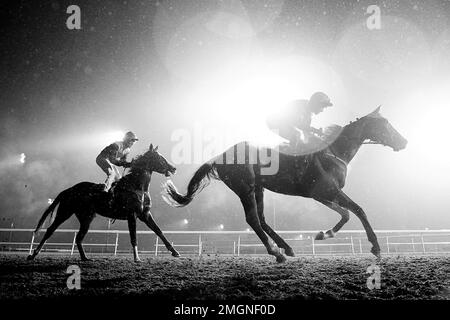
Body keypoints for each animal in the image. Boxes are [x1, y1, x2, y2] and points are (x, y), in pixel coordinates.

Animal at [27, 144, 179, 262]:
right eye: (159, 158)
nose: (173, 168)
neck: (137, 187)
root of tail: (69, 189)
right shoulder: (132, 215)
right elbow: (133, 237)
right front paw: (137, 258)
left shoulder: (145, 214)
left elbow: (159, 231)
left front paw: (175, 252)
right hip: (65, 212)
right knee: (50, 230)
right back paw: (33, 254)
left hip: (87, 217)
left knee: (79, 238)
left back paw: (85, 258)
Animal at [164, 106, 408, 262]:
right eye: (385, 124)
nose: (404, 141)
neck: (333, 151)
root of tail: (219, 156)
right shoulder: (327, 191)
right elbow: (358, 210)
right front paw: (376, 247)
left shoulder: (322, 194)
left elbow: (346, 214)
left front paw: (323, 234)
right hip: (244, 187)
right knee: (253, 219)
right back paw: (277, 253)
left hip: (259, 188)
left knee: (262, 219)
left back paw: (287, 248)